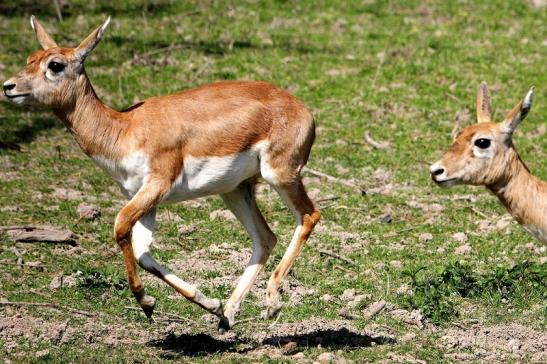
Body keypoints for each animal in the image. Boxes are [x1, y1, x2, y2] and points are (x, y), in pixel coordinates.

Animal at [3, 16, 322, 330]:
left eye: (55, 64)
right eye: (30, 58)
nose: (9, 86)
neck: (125, 128)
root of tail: (302, 109)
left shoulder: (157, 184)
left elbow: (120, 226)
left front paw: (146, 302)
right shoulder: (144, 198)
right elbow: (143, 252)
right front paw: (209, 304)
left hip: (280, 174)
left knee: (310, 215)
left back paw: (272, 302)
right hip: (234, 190)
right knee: (265, 238)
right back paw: (229, 314)